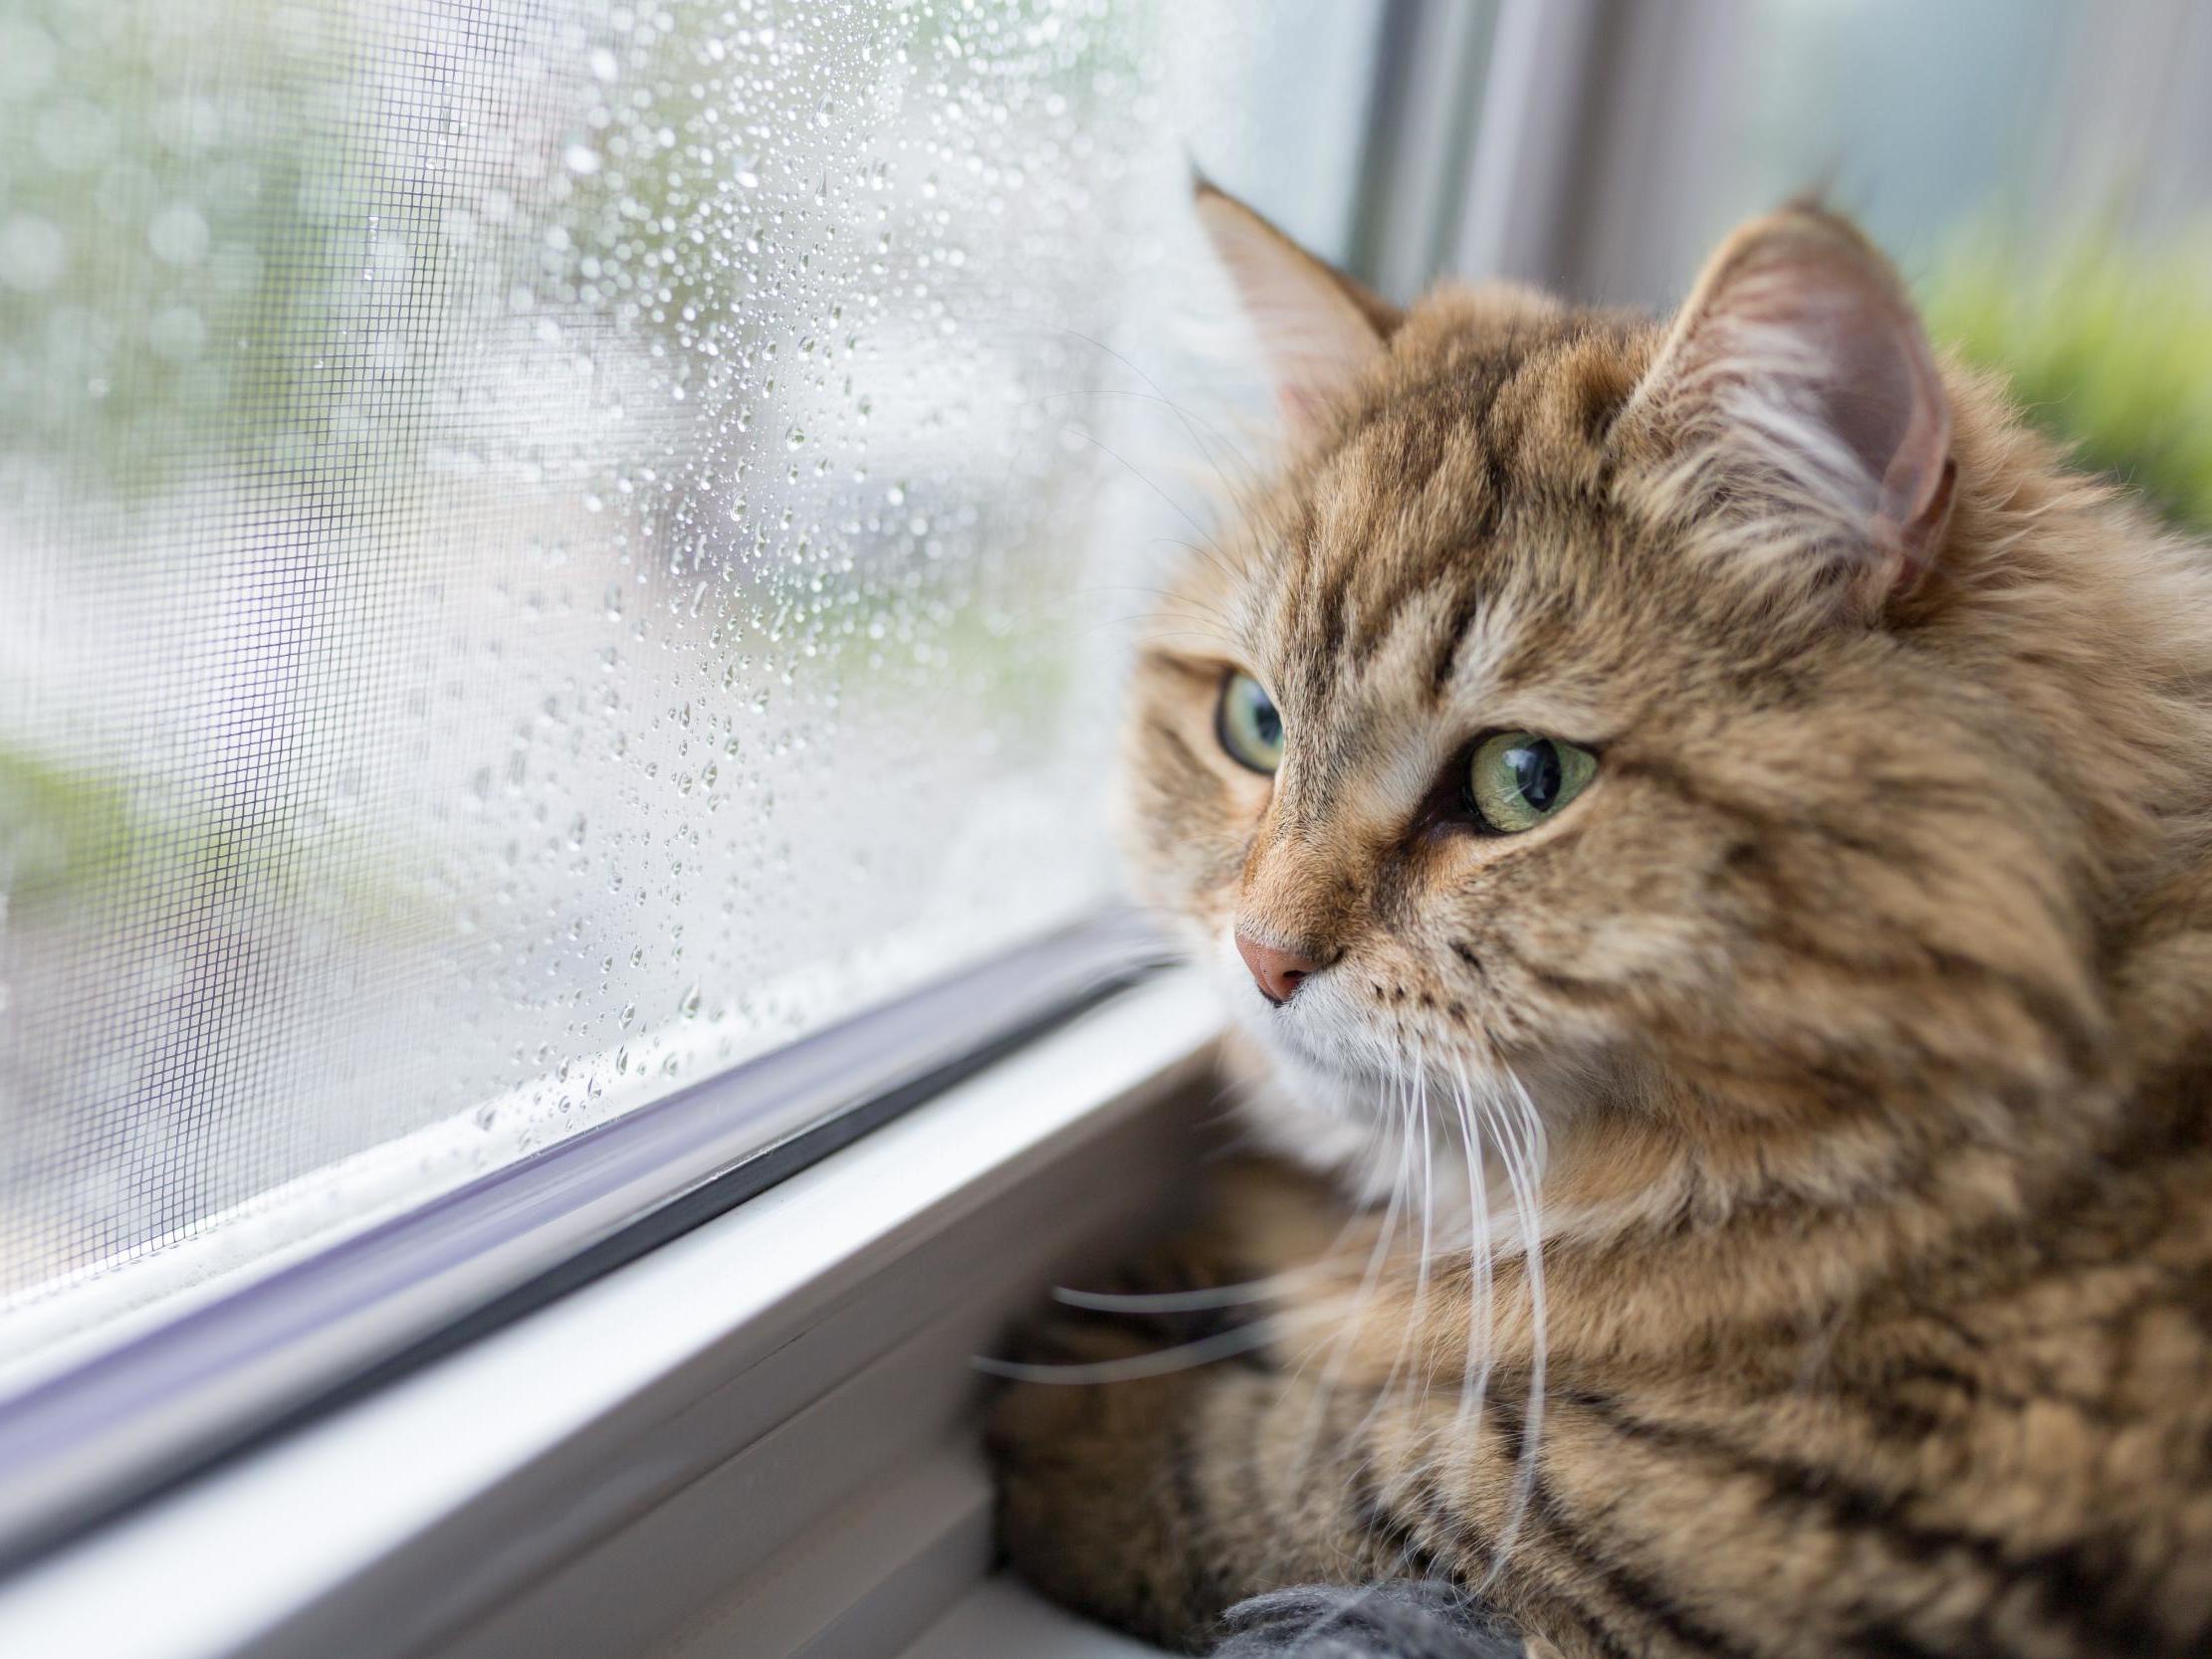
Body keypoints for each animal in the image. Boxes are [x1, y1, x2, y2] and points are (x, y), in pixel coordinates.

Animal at [982, 181, 2212, 1659]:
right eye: (1254, 724)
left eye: (1525, 780)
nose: (1262, 956)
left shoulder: (1797, 1518)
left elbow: (1358, 1470)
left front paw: (1083, 1399)